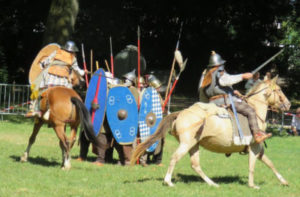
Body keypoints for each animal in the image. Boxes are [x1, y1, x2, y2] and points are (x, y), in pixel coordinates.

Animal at [131, 76, 290, 189]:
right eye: (279, 89)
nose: (288, 104)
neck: (256, 110)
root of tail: (181, 112)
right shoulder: (254, 146)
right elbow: (252, 165)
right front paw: (252, 185)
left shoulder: (258, 149)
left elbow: (270, 163)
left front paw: (284, 181)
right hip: (186, 143)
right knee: (175, 158)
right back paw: (168, 181)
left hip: (194, 145)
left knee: (195, 165)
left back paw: (212, 183)